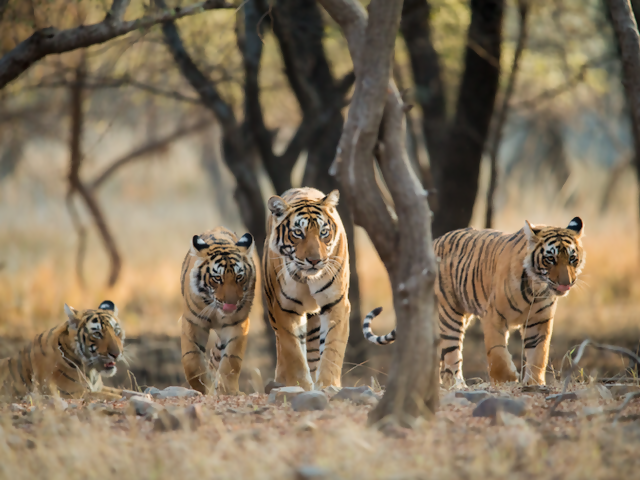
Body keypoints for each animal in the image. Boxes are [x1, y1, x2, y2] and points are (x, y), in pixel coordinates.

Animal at [180, 226, 256, 395]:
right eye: (217, 278)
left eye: (239, 277)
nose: (231, 304)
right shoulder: (193, 322)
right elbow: (192, 361)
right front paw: (203, 387)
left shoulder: (237, 324)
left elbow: (231, 360)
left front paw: (227, 390)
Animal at [263, 187, 350, 391]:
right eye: (298, 233)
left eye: (323, 232)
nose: (315, 260)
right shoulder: (285, 308)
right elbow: (293, 352)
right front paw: (300, 385)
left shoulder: (336, 303)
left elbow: (332, 348)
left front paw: (328, 385)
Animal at [362, 217, 586, 387]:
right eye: (550, 259)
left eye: (572, 259)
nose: (566, 283)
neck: (536, 288)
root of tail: (433, 242)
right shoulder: (494, 316)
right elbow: (497, 353)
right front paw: (507, 380)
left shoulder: (539, 322)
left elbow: (539, 354)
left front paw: (534, 383)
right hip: (450, 313)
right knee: (451, 354)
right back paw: (456, 385)